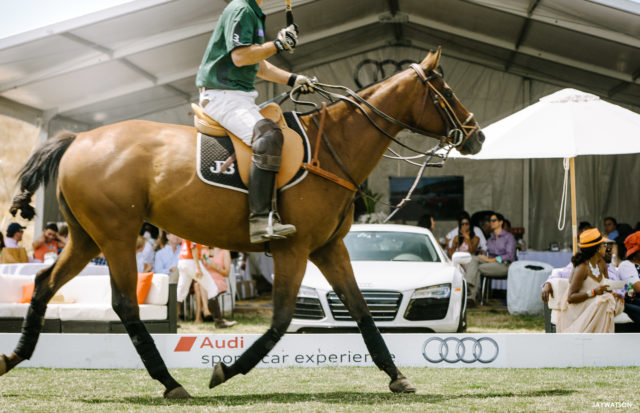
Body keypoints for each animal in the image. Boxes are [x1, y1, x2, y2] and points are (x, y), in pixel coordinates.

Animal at [0, 47, 480, 396]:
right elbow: (281, 321)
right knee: (124, 305)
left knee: (43, 283)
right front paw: (225, 371)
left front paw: (397, 376)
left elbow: (362, 311)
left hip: (86, 237)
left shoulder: (329, 247)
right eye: (446, 90)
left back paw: (12, 358)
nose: (477, 136)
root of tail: (77, 137)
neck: (334, 148)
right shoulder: (293, 249)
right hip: (116, 234)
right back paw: (170, 383)